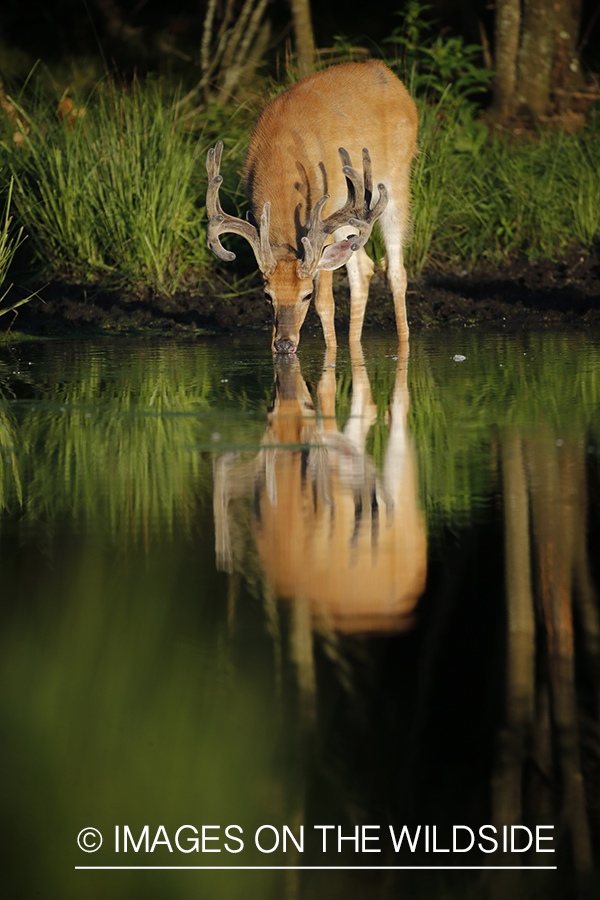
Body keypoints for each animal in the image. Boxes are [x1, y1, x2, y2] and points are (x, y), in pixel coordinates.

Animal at [206, 59, 418, 354]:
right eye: (267, 295)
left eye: (306, 295)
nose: (284, 344)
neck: (281, 161)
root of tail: (390, 75)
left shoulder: (324, 215)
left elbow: (325, 303)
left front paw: (330, 355)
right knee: (362, 268)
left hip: (397, 175)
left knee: (396, 270)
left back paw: (403, 344)